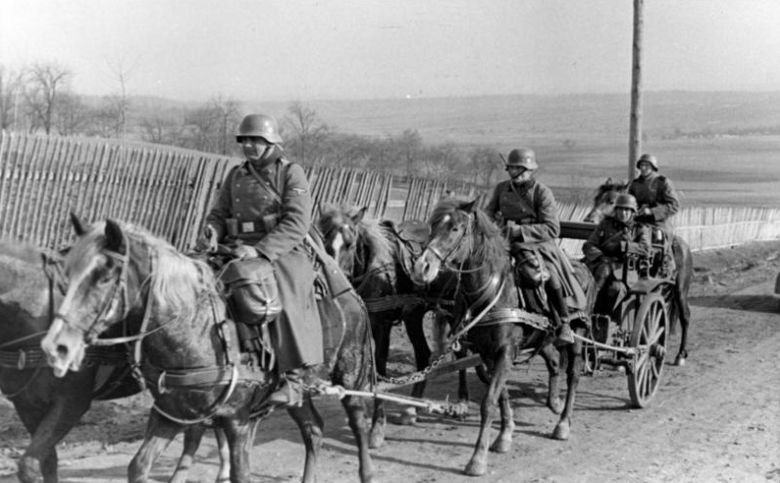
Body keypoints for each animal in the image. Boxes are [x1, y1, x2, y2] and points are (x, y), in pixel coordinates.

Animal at [39, 219, 374, 483]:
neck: (195, 327)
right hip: (301, 392)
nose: (57, 346)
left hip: (351, 376)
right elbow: (139, 466)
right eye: (67, 274)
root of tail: (351, 294)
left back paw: (367, 469)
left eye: (105, 275)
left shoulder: (236, 421)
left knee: (358, 422)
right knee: (313, 429)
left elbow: (239, 473)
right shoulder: (171, 413)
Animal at [316, 204, 464, 450]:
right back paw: (411, 409)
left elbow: (381, 371)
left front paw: (377, 428)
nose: (333, 280)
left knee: (462, 353)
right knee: (423, 355)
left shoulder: (382, 328)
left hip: (453, 312)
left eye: (350, 243)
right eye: (324, 242)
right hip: (413, 316)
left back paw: (462, 402)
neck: (375, 269)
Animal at [408, 199, 596, 478]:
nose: (422, 268)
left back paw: (563, 423)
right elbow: (500, 393)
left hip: (578, 333)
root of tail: (585, 268)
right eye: (433, 225)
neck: (494, 292)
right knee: (553, 361)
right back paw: (553, 401)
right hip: (542, 339)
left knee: (573, 373)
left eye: (455, 228)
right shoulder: (489, 353)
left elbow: (489, 402)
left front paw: (477, 459)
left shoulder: (505, 351)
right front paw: (505, 434)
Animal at [580, 180, 696, 364]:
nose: (588, 219)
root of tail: (685, 246)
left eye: (611, 201)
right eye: (596, 199)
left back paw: (680, 354)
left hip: (680, 290)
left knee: (685, 316)